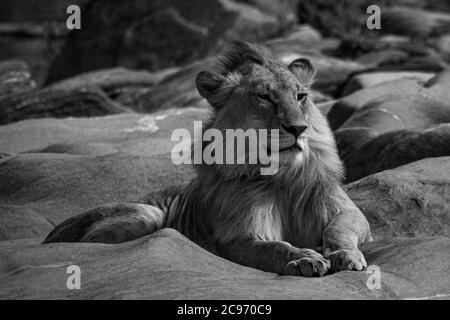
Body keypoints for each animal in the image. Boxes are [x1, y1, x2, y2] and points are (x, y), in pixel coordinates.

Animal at [44, 42, 372, 278]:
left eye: (301, 96)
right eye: (264, 97)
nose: (298, 128)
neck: (284, 176)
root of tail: (51, 234)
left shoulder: (347, 211)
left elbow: (339, 229)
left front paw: (344, 255)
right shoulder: (237, 237)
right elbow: (275, 248)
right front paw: (304, 257)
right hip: (145, 215)